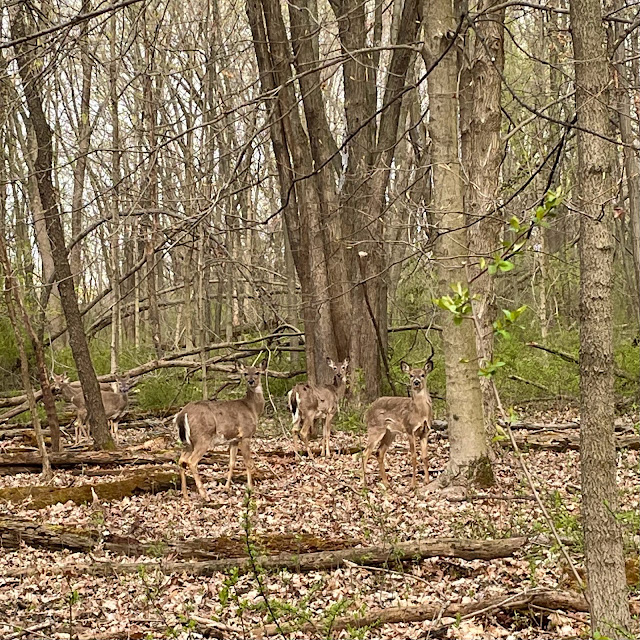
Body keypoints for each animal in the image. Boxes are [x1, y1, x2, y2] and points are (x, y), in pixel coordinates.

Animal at [175, 360, 266, 500]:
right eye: (245, 373)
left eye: (257, 372)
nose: (251, 381)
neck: (252, 408)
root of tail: (182, 414)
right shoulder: (246, 434)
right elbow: (248, 463)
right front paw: (250, 489)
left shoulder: (234, 440)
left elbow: (232, 463)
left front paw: (226, 487)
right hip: (202, 437)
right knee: (191, 461)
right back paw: (204, 495)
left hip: (188, 442)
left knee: (181, 461)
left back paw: (185, 495)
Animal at [361, 352, 434, 490]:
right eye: (411, 375)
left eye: (422, 374)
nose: (416, 382)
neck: (420, 413)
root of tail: (366, 412)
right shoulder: (409, 429)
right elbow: (414, 456)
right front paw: (413, 484)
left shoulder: (425, 431)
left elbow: (425, 456)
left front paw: (427, 481)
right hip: (375, 429)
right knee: (365, 453)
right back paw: (364, 484)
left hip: (390, 432)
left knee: (379, 452)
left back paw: (386, 483)